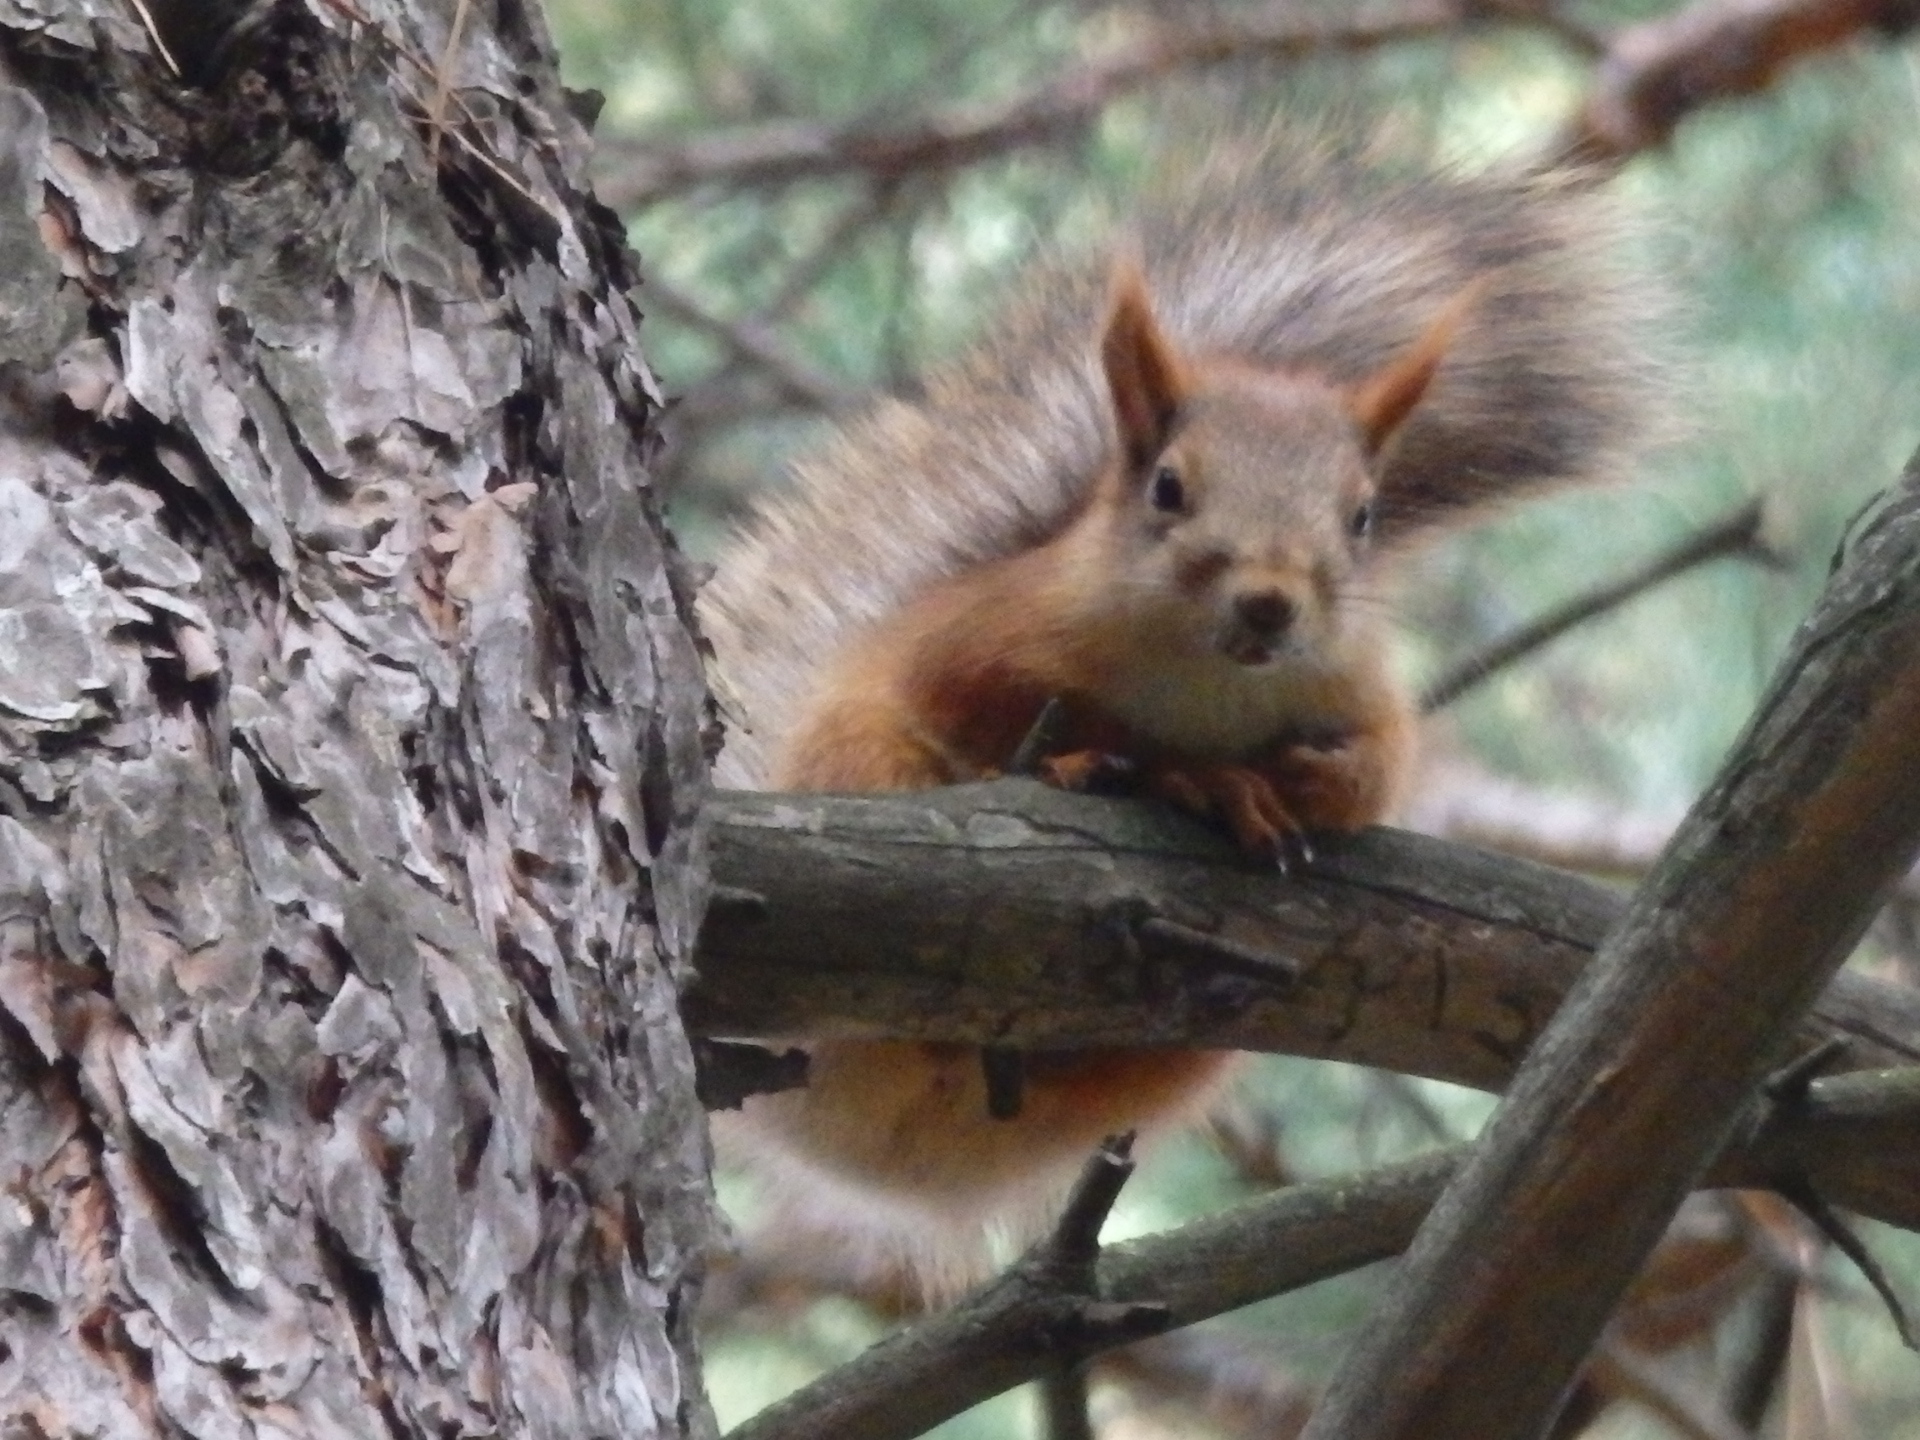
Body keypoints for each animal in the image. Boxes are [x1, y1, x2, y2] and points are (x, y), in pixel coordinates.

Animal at [698, 126, 1658, 1297]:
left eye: (1363, 516)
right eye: (1167, 487)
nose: (1269, 600)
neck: (1211, 678)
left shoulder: (1355, 682)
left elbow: (1380, 765)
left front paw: (1310, 780)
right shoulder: (977, 646)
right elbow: (1014, 714)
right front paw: (1179, 772)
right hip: (862, 766)